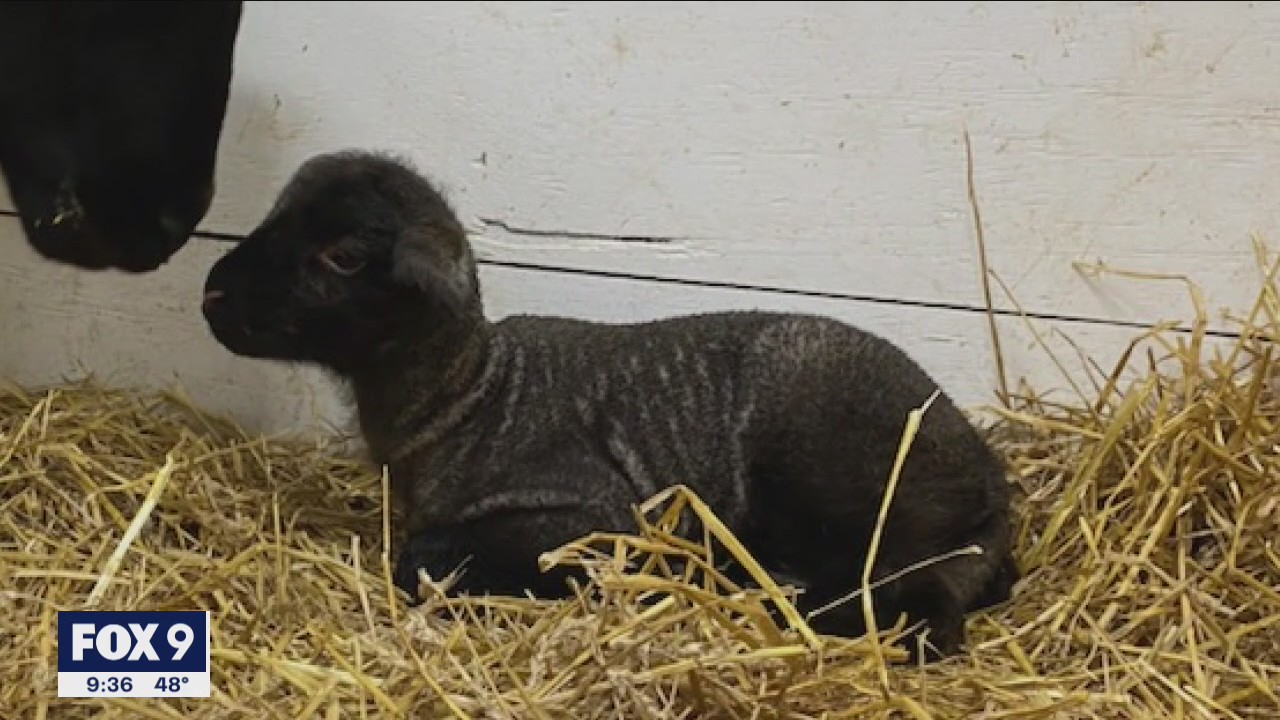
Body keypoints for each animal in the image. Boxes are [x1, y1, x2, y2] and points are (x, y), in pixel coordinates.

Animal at [200, 149, 1019, 660]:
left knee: (925, 612)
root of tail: (986, 479)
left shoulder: (596, 513)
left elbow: (424, 556)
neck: (469, 397)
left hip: (846, 477)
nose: (210, 294)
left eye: (341, 256)